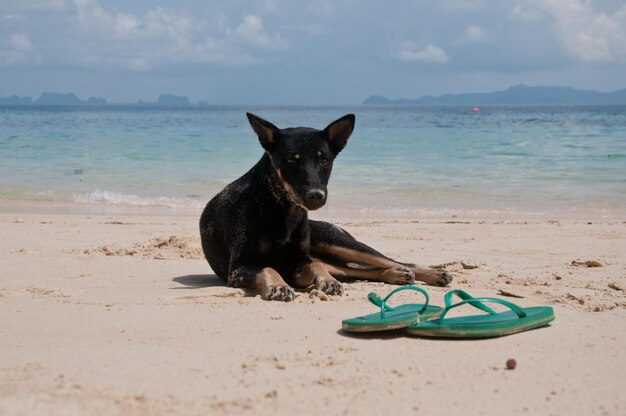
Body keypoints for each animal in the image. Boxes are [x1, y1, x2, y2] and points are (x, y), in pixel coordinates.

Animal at [200, 114, 448, 300]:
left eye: (324, 159)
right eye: (291, 160)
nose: (316, 196)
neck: (282, 207)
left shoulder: (298, 263)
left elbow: (316, 266)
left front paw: (327, 282)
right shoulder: (238, 268)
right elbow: (268, 267)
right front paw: (278, 286)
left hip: (338, 243)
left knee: (389, 261)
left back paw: (431, 273)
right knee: (358, 270)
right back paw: (397, 275)